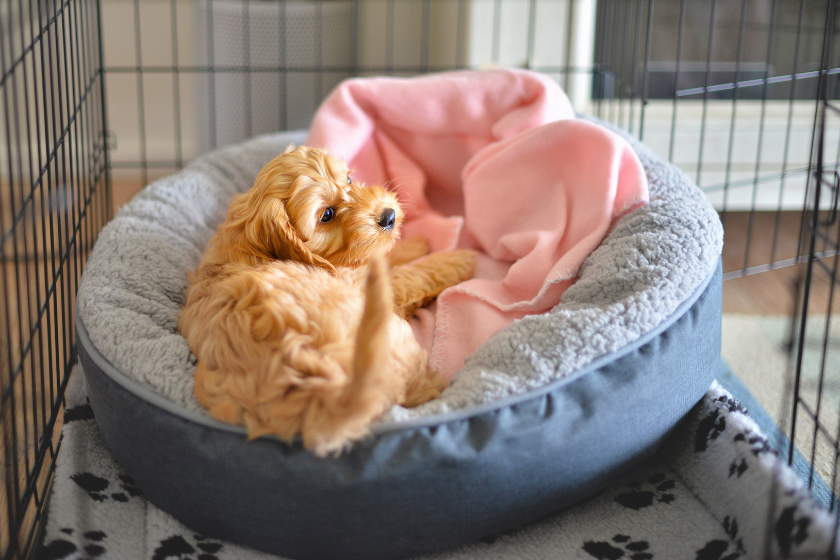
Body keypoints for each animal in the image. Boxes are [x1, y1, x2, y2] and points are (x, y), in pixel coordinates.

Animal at [177, 148, 480, 456]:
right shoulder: (361, 285)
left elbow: (379, 256)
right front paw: (457, 259)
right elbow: (409, 275)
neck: (251, 242)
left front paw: (415, 243)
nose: (389, 216)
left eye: (348, 179)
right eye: (327, 214)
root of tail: (327, 391)